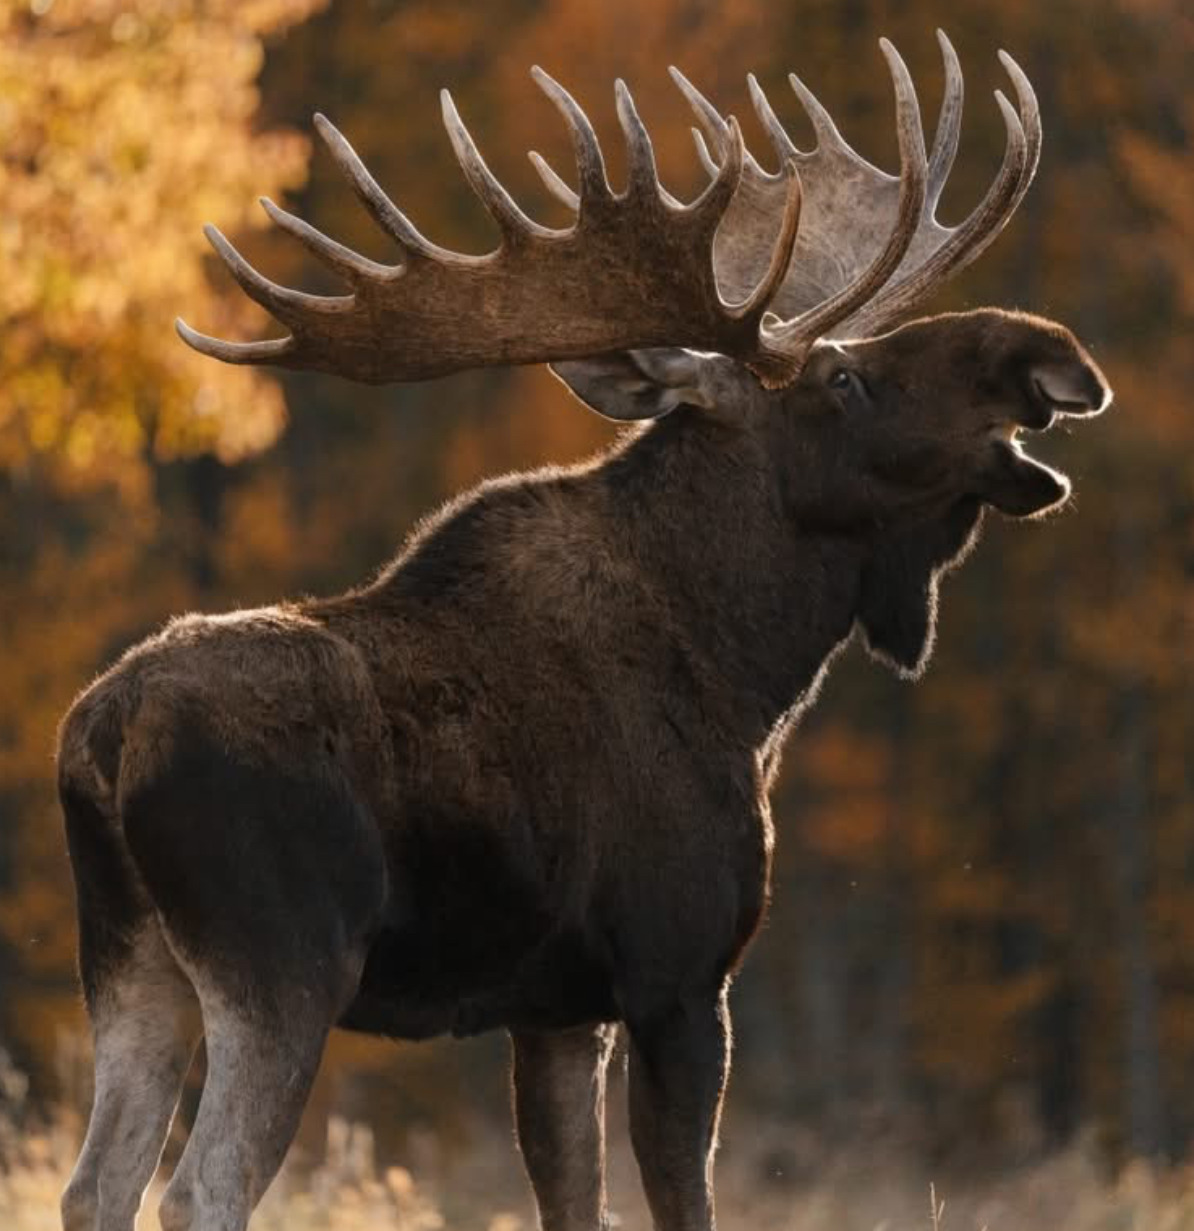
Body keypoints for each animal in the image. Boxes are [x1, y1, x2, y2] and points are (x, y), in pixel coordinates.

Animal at [56, 33, 1109, 1231]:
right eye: (846, 379)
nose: (1045, 353)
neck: (749, 676)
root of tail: (102, 743)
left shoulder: (557, 1006)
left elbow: (575, 1198)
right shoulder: (679, 972)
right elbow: (682, 1199)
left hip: (129, 959)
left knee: (96, 1182)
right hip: (282, 960)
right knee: (200, 1186)